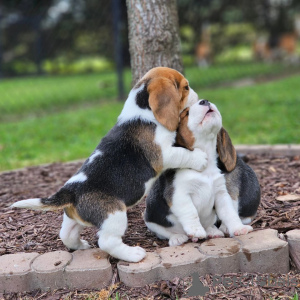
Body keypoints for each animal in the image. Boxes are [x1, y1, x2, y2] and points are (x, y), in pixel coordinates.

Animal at [12, 67, 209, 262]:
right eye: (186, 87)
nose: (199, 98)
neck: (143, 112)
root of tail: (71, 191)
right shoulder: (164, 154)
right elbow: (183, 154)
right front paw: (201, 159)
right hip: (114, 215)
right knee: (107, 242)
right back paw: (134, 254)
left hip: (73, 218)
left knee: (66, 234)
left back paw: (80, 245)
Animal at [144, 99, 254, 245]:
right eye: (186, 113)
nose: (205, 101)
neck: (206, 168)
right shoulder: (179, 195)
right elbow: (191, 212)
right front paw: (196, 230)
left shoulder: (221, 194)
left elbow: (230, 214)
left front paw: (239, 228)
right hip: (151, 220)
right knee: (165, 233)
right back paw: (178, 237)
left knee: (210, 224)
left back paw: (212, 231)